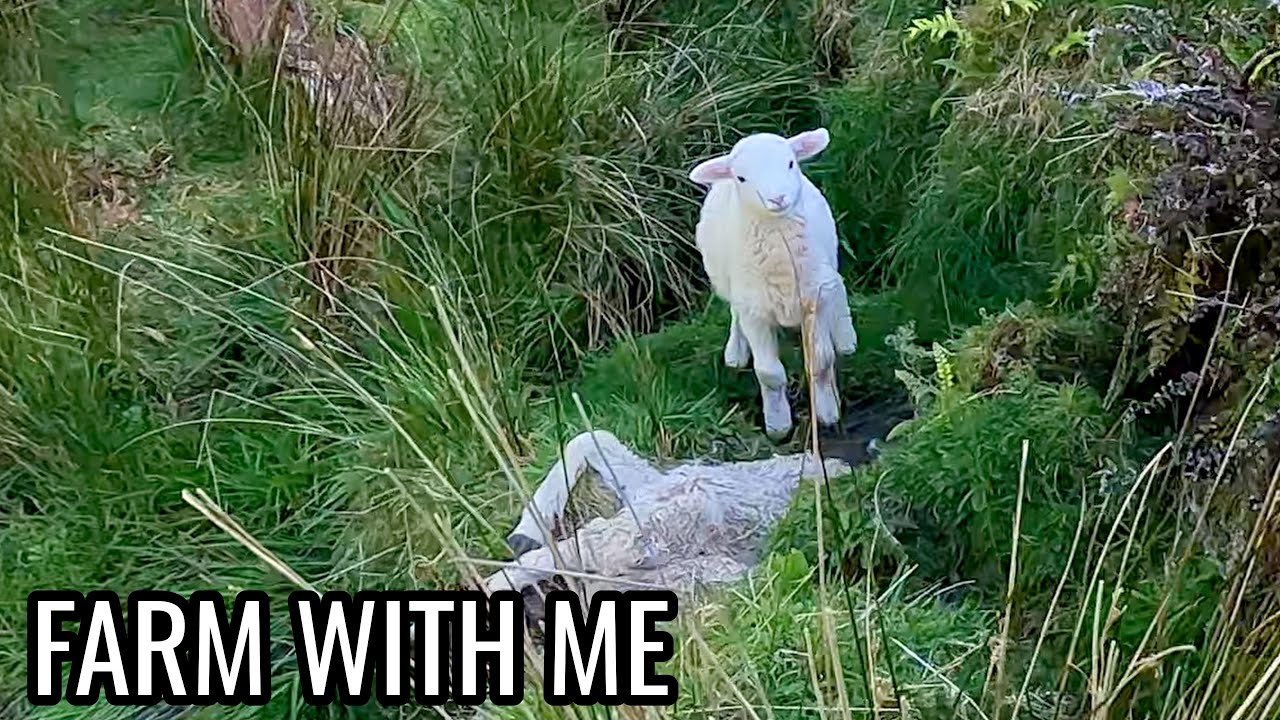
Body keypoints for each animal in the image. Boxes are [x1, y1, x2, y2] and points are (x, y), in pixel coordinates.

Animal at [687, 128, 858, 439]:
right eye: (741, 178)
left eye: (790, 163)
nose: (777, 198)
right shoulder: (755, 312)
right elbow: (769, 374)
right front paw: (778, 425)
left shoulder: (814, 300)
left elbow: (820, 362)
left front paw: (828, 413)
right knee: (734, 313)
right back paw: (736, 352)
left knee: (838, 286)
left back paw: (845, 336)